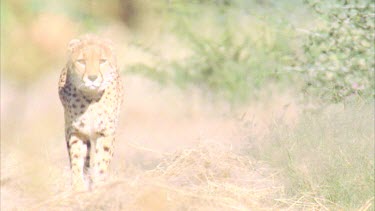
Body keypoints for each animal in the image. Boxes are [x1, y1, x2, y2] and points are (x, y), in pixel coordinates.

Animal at [58, 35, 123, 191]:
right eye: (82, 61)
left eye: (102, 61)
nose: (92, 78)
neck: (91, 96)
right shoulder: (76, 130)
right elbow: (76, 157)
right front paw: (78, 185)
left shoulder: (106, 132)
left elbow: (102, 158)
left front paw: (99, 183)